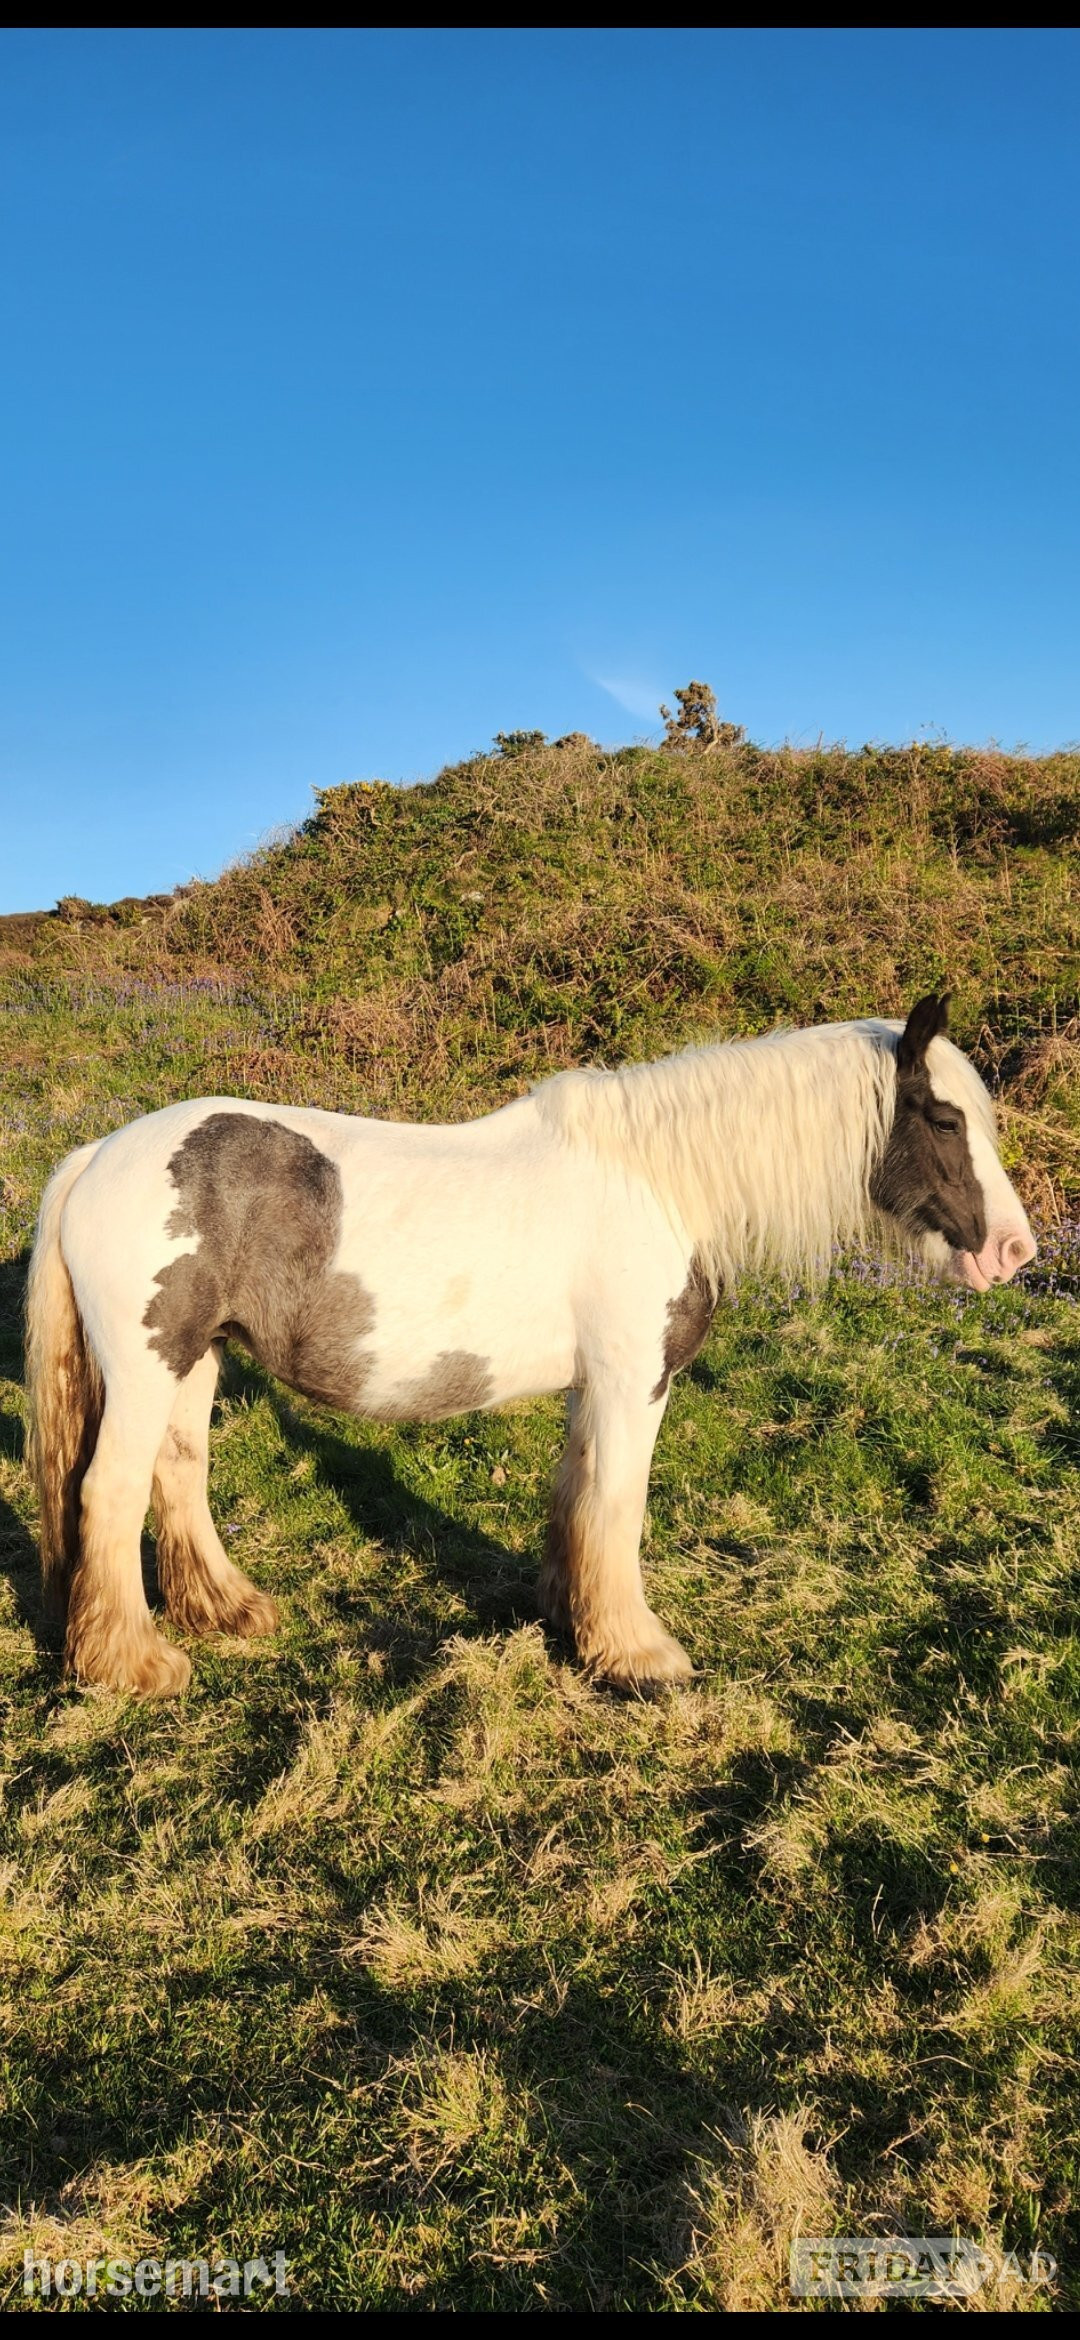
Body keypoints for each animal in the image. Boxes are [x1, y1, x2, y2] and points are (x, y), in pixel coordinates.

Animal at [25, 992, 1035, 1700]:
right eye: (946, 1120)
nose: (1015, 1252)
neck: (660, 1181)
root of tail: (98, 1155)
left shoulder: (598, 1388)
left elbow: (580, 1498)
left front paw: (573, 1619)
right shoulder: (635, 1381)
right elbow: (620, 1506)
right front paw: (640, 1656)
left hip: (196, 1357)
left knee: (179, 1472)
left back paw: (226, 1610)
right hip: (149, 1364)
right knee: (110, 1491)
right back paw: (134, 1666)